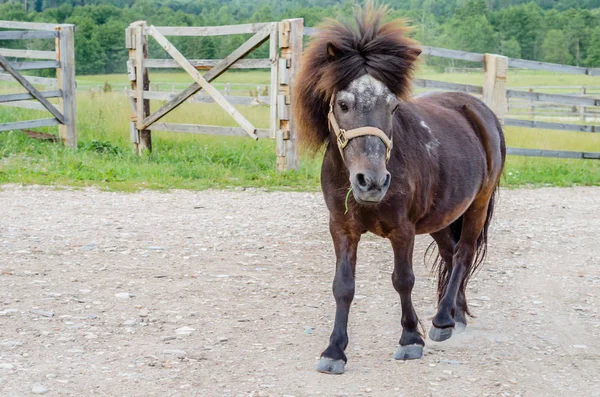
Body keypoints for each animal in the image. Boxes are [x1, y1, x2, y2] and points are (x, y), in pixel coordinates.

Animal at [296, 3, 506, 374]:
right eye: (343, 104)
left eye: (393, 107)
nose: (372, 182)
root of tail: (482, 112)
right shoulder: (342, 228)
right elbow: (343, 286)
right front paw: (334, 350)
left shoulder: (402, 230)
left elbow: (403, 280)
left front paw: (410, 339)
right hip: (441, 216)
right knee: (451, 253)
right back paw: (455, 316)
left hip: (477, 206)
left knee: (464, 253)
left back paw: (442, 320)